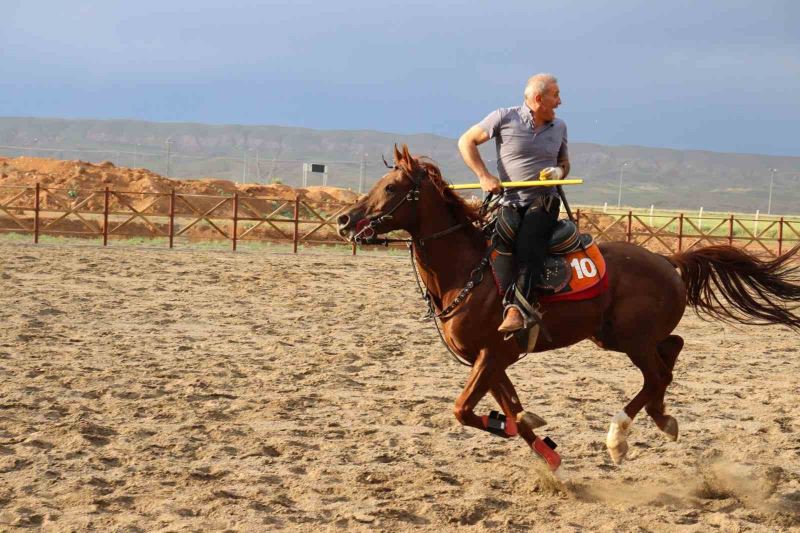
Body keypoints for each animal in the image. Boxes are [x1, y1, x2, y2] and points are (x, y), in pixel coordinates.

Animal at [336, 145, 800, 470]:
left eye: (391, 188)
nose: (343, 221)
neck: (470, 271)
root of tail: (667, 260)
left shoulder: (492, 354)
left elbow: (464, 409)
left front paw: (516, 428)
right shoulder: (493, 360)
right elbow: (511, 407)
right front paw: (538, 442)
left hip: (631, 339)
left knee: (656, 374)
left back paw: (619, 437)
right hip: (612, 336)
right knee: (671, 354)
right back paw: (662, 418)